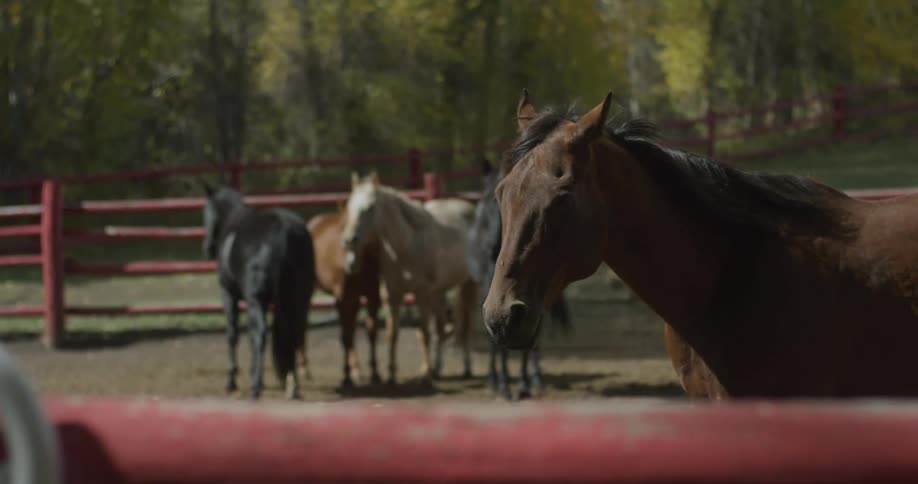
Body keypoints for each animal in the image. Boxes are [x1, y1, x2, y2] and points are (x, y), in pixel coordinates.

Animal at [202, 183, 316, 400]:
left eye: (205, 213)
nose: (208, 248)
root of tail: (285, 231)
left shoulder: (229, 293)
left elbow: (233, 334)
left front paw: (232, 381)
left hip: (258, 299)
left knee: (263, 334)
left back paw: (255, 388)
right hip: (297, 299)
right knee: (293, 335)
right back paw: (292, 385)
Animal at [307, 208, 383, 389]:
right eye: (341, 229)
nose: (350, 264)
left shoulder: (372, 296)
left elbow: (371, 332)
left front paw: (375, 374)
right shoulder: (341, 300)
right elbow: (345, 336)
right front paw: (346, 377)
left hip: (354, 299)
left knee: (352, 329)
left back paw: (357, 370)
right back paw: (304, 369)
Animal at [341, 172, 478, 384]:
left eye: (370, 207)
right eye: (349, 206)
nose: (349, 239)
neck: (406, 246)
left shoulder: (422, 295)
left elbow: (424, 333)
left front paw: (427, 376)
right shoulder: (392, 295)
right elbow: (392, 334)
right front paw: (391, 375)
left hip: (468, 285)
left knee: (466, 326)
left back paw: (466, 366)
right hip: (438, 292)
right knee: (442, 326)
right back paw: (438, 367)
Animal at [467, 157, 573, 400]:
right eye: (484, 206)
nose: (491, 246)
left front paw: (524, 383)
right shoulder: (492, 293)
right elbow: (497, 339)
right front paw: (502, 383)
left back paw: (536, 378)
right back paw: (493, 379)